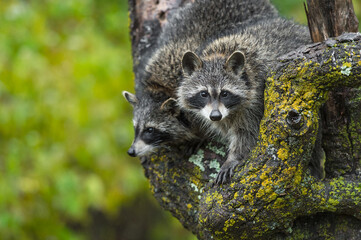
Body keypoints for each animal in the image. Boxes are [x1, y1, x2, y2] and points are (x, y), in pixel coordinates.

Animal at [178, 18, 312, 184]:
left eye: (224, 94)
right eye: (204, 94)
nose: (215, 116)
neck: (219, 54)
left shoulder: (256, 101)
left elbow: (247, 133)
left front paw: (234, 157)